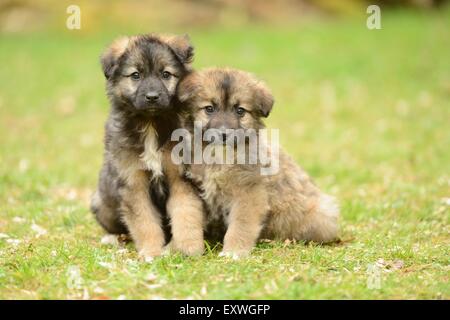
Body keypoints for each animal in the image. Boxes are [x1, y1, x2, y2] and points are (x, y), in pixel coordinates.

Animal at [92, 34, 195, 260]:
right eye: (135, 75)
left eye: (165, 74)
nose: (152, 97)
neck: (150, 123)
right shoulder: (133, 183)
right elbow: (144, 222)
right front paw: (152, 252)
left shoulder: (180, 178)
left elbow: (186, 213)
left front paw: (187, 248)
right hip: (103, 204)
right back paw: (113, 238)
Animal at [174, 67, 340, 258]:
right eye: (209, 108)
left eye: (240, 111)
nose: (224, 134)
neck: (219, 156)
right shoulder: (194, 189)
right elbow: (187, 219)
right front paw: (178, 247)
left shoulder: (249, 193)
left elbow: (240, 226)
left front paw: (233, 252)